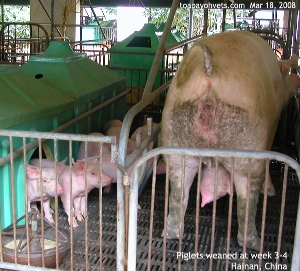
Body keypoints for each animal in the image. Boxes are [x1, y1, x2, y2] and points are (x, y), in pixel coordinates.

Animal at [161, 30, 298, 252]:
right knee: (247, 198)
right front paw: (271, 192)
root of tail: (210, 74)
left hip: (175, 141)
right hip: (247, 148)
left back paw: (171, 233)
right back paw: (254, 244)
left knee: (178, 193)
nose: (297, 80)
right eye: (287, 75)